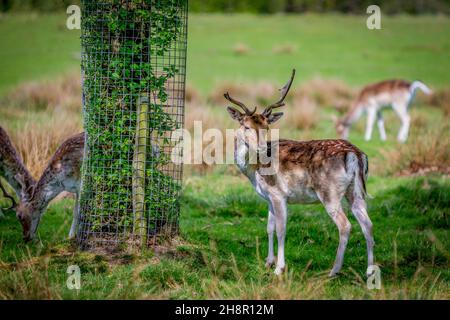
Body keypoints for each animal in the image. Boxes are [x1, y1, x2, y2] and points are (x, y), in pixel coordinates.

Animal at [223, 70, 374, 278]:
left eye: (266, 127)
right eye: (246, 126)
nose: (262, 147)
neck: (254, 172)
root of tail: (355, 155)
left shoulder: (278, 194)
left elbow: (281, 229)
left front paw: (279, 268)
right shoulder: (268, 197)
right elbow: (269, 227)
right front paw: (268, 262)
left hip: (330, 192)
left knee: (345, 225)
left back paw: (333, 271)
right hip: (356, 191)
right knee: (367, 224)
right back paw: (370, 271)